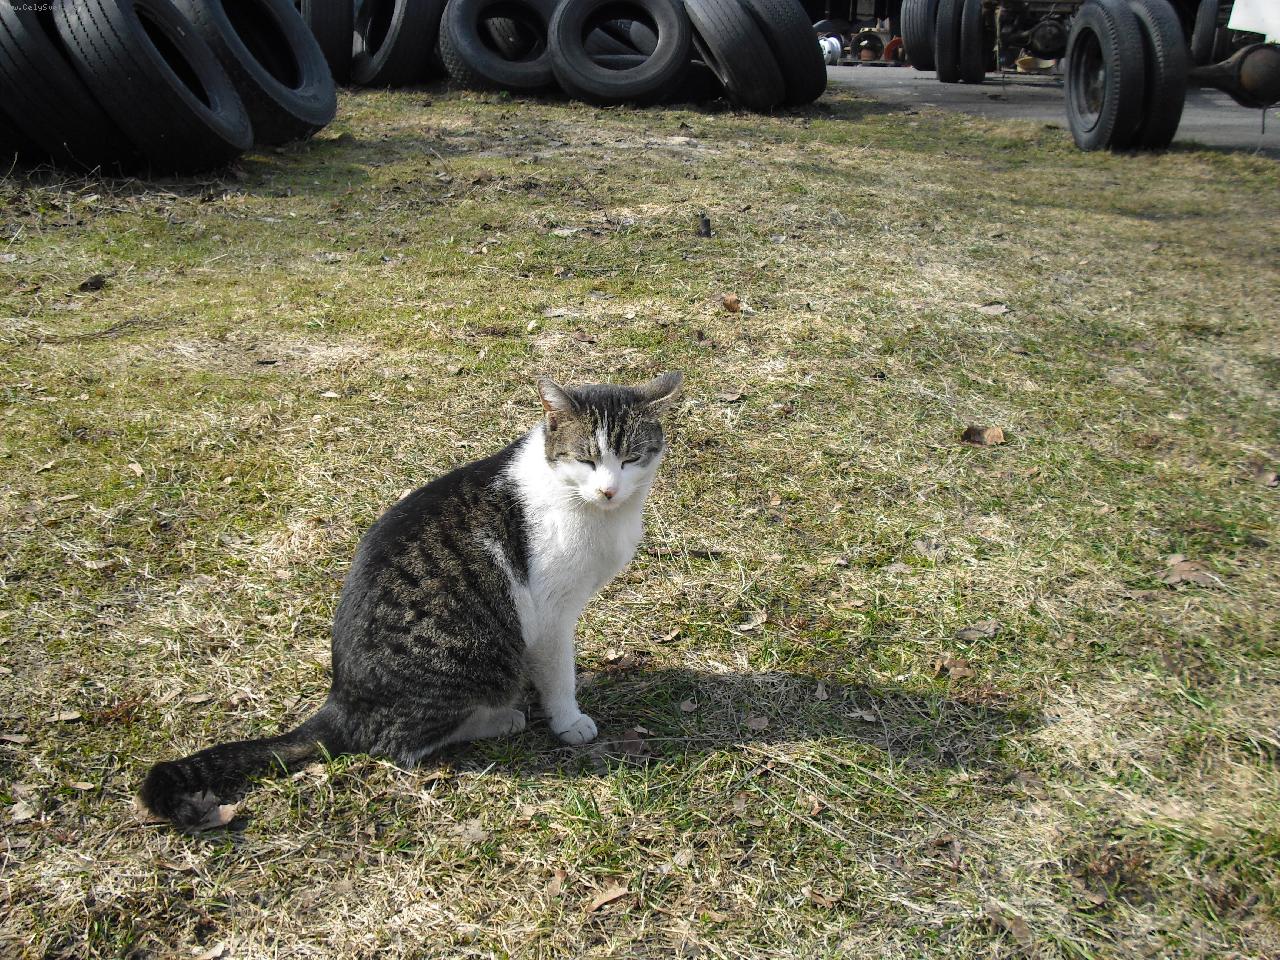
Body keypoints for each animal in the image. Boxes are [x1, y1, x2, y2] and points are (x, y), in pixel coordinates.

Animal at [138, 371, 683, 829]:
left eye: (630, 458)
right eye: (586, 460)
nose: (609, 490)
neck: (587, 506)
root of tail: (340, 702)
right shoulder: (549, 614)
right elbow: (558, 672)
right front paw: (567, 719)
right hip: (465, 661)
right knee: (400, 745)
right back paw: (499, 718)